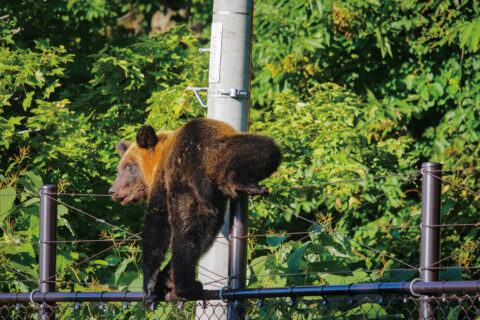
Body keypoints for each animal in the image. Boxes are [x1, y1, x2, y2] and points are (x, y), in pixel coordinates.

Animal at [109, 119, 282, 306]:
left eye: (127, 166)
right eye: (120, 167)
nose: (113, 190)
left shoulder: (163, 184)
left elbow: (158, 223)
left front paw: (151, 285)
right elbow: (156, 226)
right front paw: (149, 285)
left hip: (192, 190)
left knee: (189, 236)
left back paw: (175, 283)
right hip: (218, 158)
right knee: (267, 148)